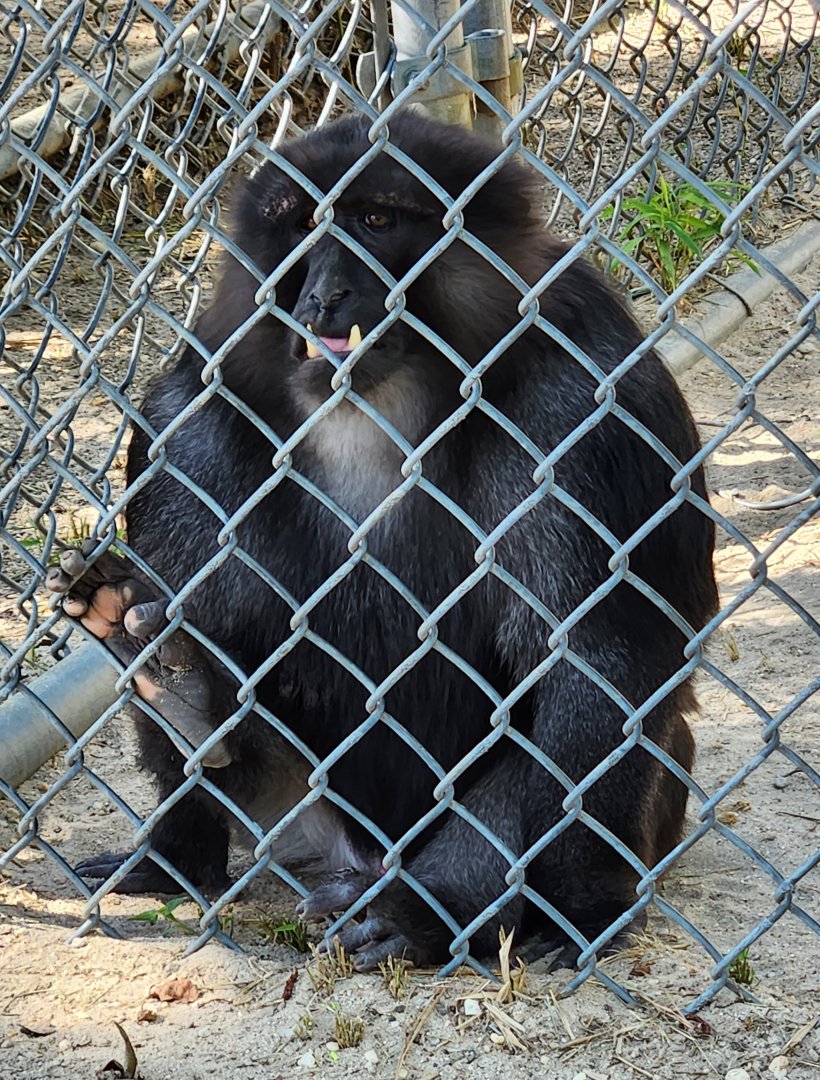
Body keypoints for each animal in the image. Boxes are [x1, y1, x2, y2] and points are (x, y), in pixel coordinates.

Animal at [47, 111, 718, 971]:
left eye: (374, 219)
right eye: (300, 226)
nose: (323, 294)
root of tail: (363, 858)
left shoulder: (584, 404)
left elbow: (603, 660)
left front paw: (576, 905)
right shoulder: (185, 420)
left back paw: (430, 908)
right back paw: (179, 721)